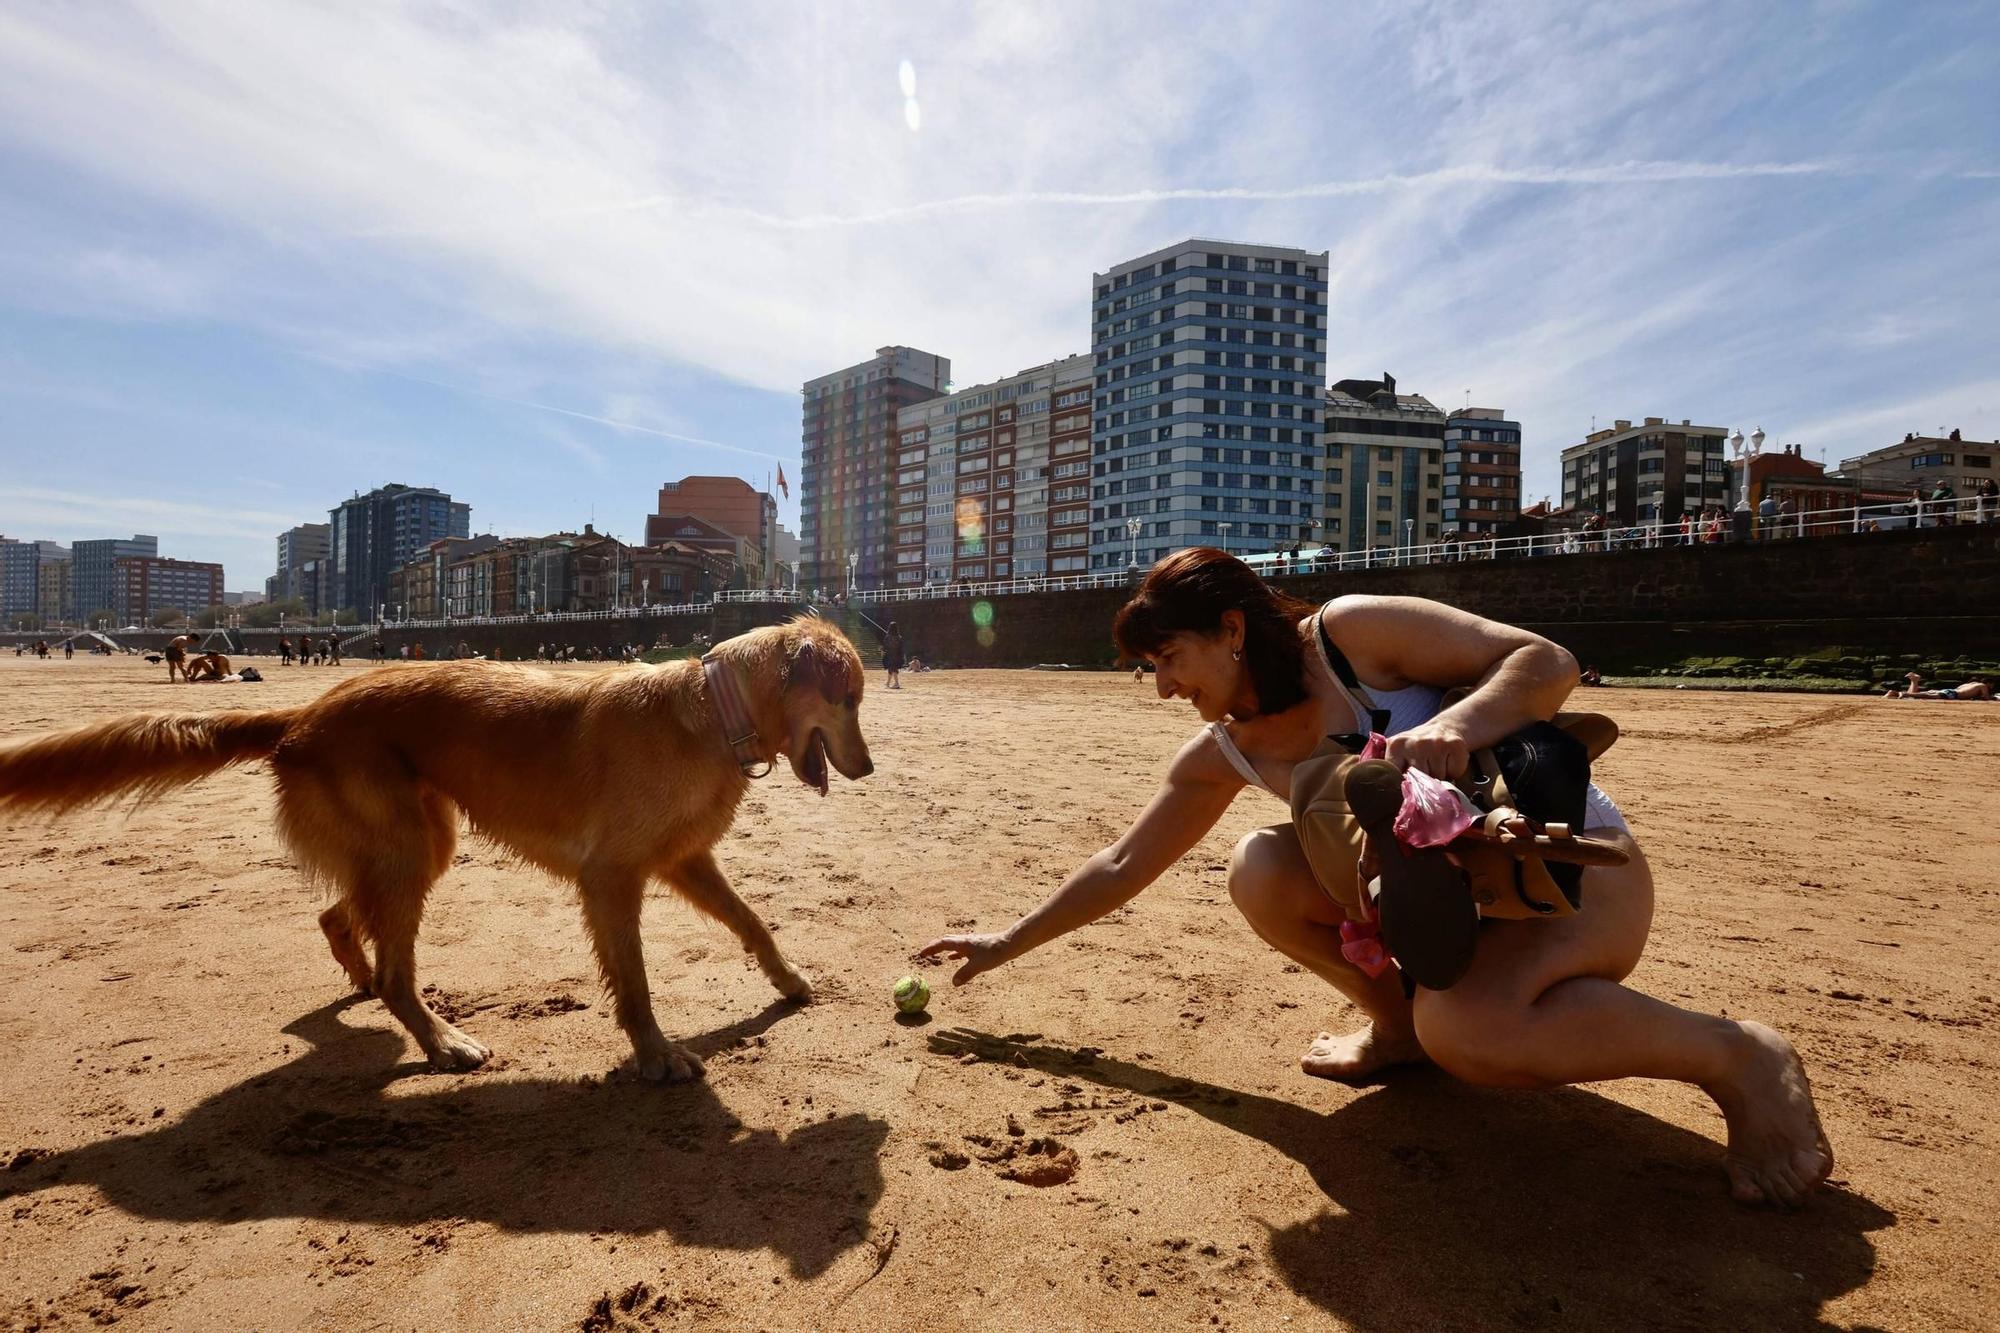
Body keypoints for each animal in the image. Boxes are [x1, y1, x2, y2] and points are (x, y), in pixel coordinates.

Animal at [0, 616, 876, 1072]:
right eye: (851, 699)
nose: (868, 767)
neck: (710, 713)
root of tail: (303, 715)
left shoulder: (684, 860)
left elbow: (753, 922)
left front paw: (790, 981)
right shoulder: (613, 877)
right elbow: (635, 982)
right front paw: (657, 1055)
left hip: (419, 841)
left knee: (338, 919)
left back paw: (361, 984)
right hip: (411, 847)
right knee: (396, 969)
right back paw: (441, 1039)